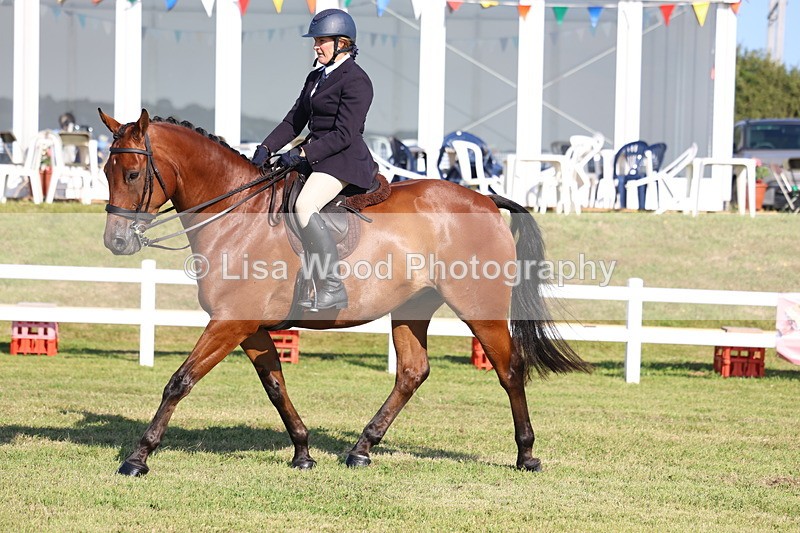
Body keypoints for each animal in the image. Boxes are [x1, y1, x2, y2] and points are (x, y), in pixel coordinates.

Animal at [98, 108, 590, 476]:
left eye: (133, 173)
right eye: (105, 170)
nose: (116, 242)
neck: (237, 214)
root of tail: (486, 200)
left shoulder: (230, 322)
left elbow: (179, 382)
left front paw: (138, 457)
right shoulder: (248, 326)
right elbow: (275, 385)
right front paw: (302, 452)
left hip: (479, 307)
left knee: (509, 369)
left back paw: (526, 454)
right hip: (412, 307)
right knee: (412, 372)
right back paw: (361, 449)